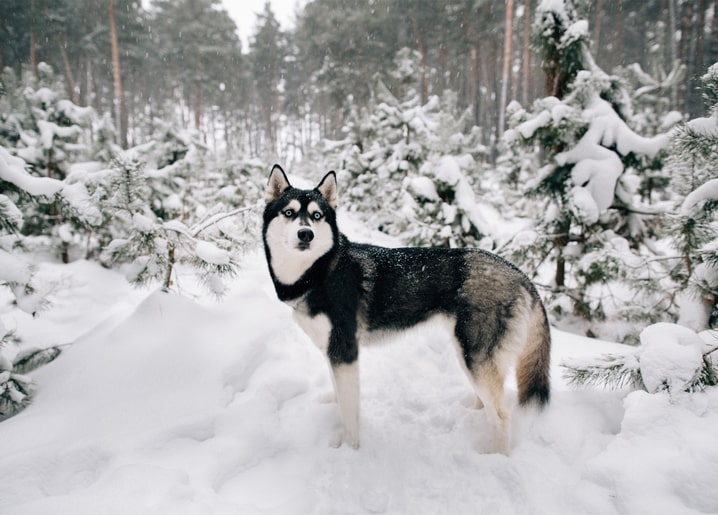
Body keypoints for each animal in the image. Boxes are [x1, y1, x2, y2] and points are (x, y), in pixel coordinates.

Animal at [264, 165, 552, 456]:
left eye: (316, 215)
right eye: (289, 212)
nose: (306, 234)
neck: (321, 271)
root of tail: (518, 273)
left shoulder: (345, 352)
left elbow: (350, 413)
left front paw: (349, 449)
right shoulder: (333, 351)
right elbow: (339, 395)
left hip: (474, 357)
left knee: (501, 415)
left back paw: (495, 456)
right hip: (470, 356)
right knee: (486, 403)